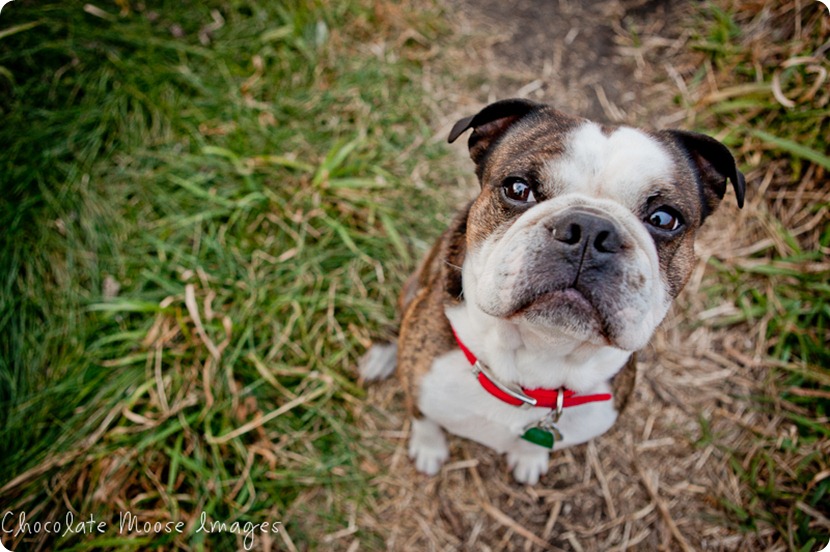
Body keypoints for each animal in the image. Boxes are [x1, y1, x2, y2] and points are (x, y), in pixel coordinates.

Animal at [362, 98, 748, 484]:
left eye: (664, 219)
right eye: (518, 189)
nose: (590, 229)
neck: (537, 360)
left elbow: (532, 446)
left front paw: (528, 458)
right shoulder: (421, 387)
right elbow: (423, 419)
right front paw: (429, 450)